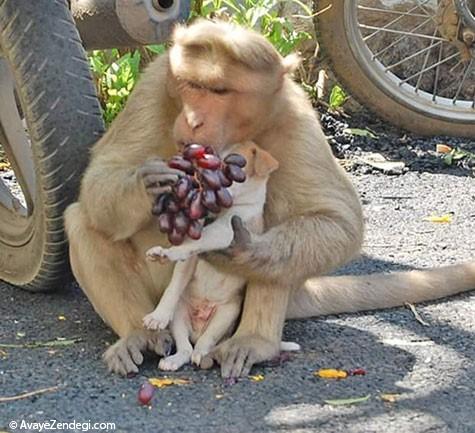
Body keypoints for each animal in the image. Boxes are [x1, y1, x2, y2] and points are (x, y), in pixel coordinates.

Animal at [143, 140, 300, 370]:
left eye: (229, 169)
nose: (201, 181)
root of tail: (198, 327)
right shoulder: (189, 260)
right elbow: (174, 283)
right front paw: (158, 316)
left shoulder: (228, 232)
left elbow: (199, 240)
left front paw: (170, 253)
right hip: (181, 314)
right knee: (185, 348)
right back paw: (173, 360)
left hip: (227, 314)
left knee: (204, 343)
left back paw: (203, 355)